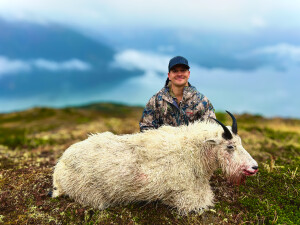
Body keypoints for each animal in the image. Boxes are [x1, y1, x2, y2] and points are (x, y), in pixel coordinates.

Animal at [51, 110, 258, 214]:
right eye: (230, 146)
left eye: (240, 142)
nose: (254, 167)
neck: (192, 152)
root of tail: (59, 170)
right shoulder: (184, 196)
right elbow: (202, 202)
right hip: (91, 195)